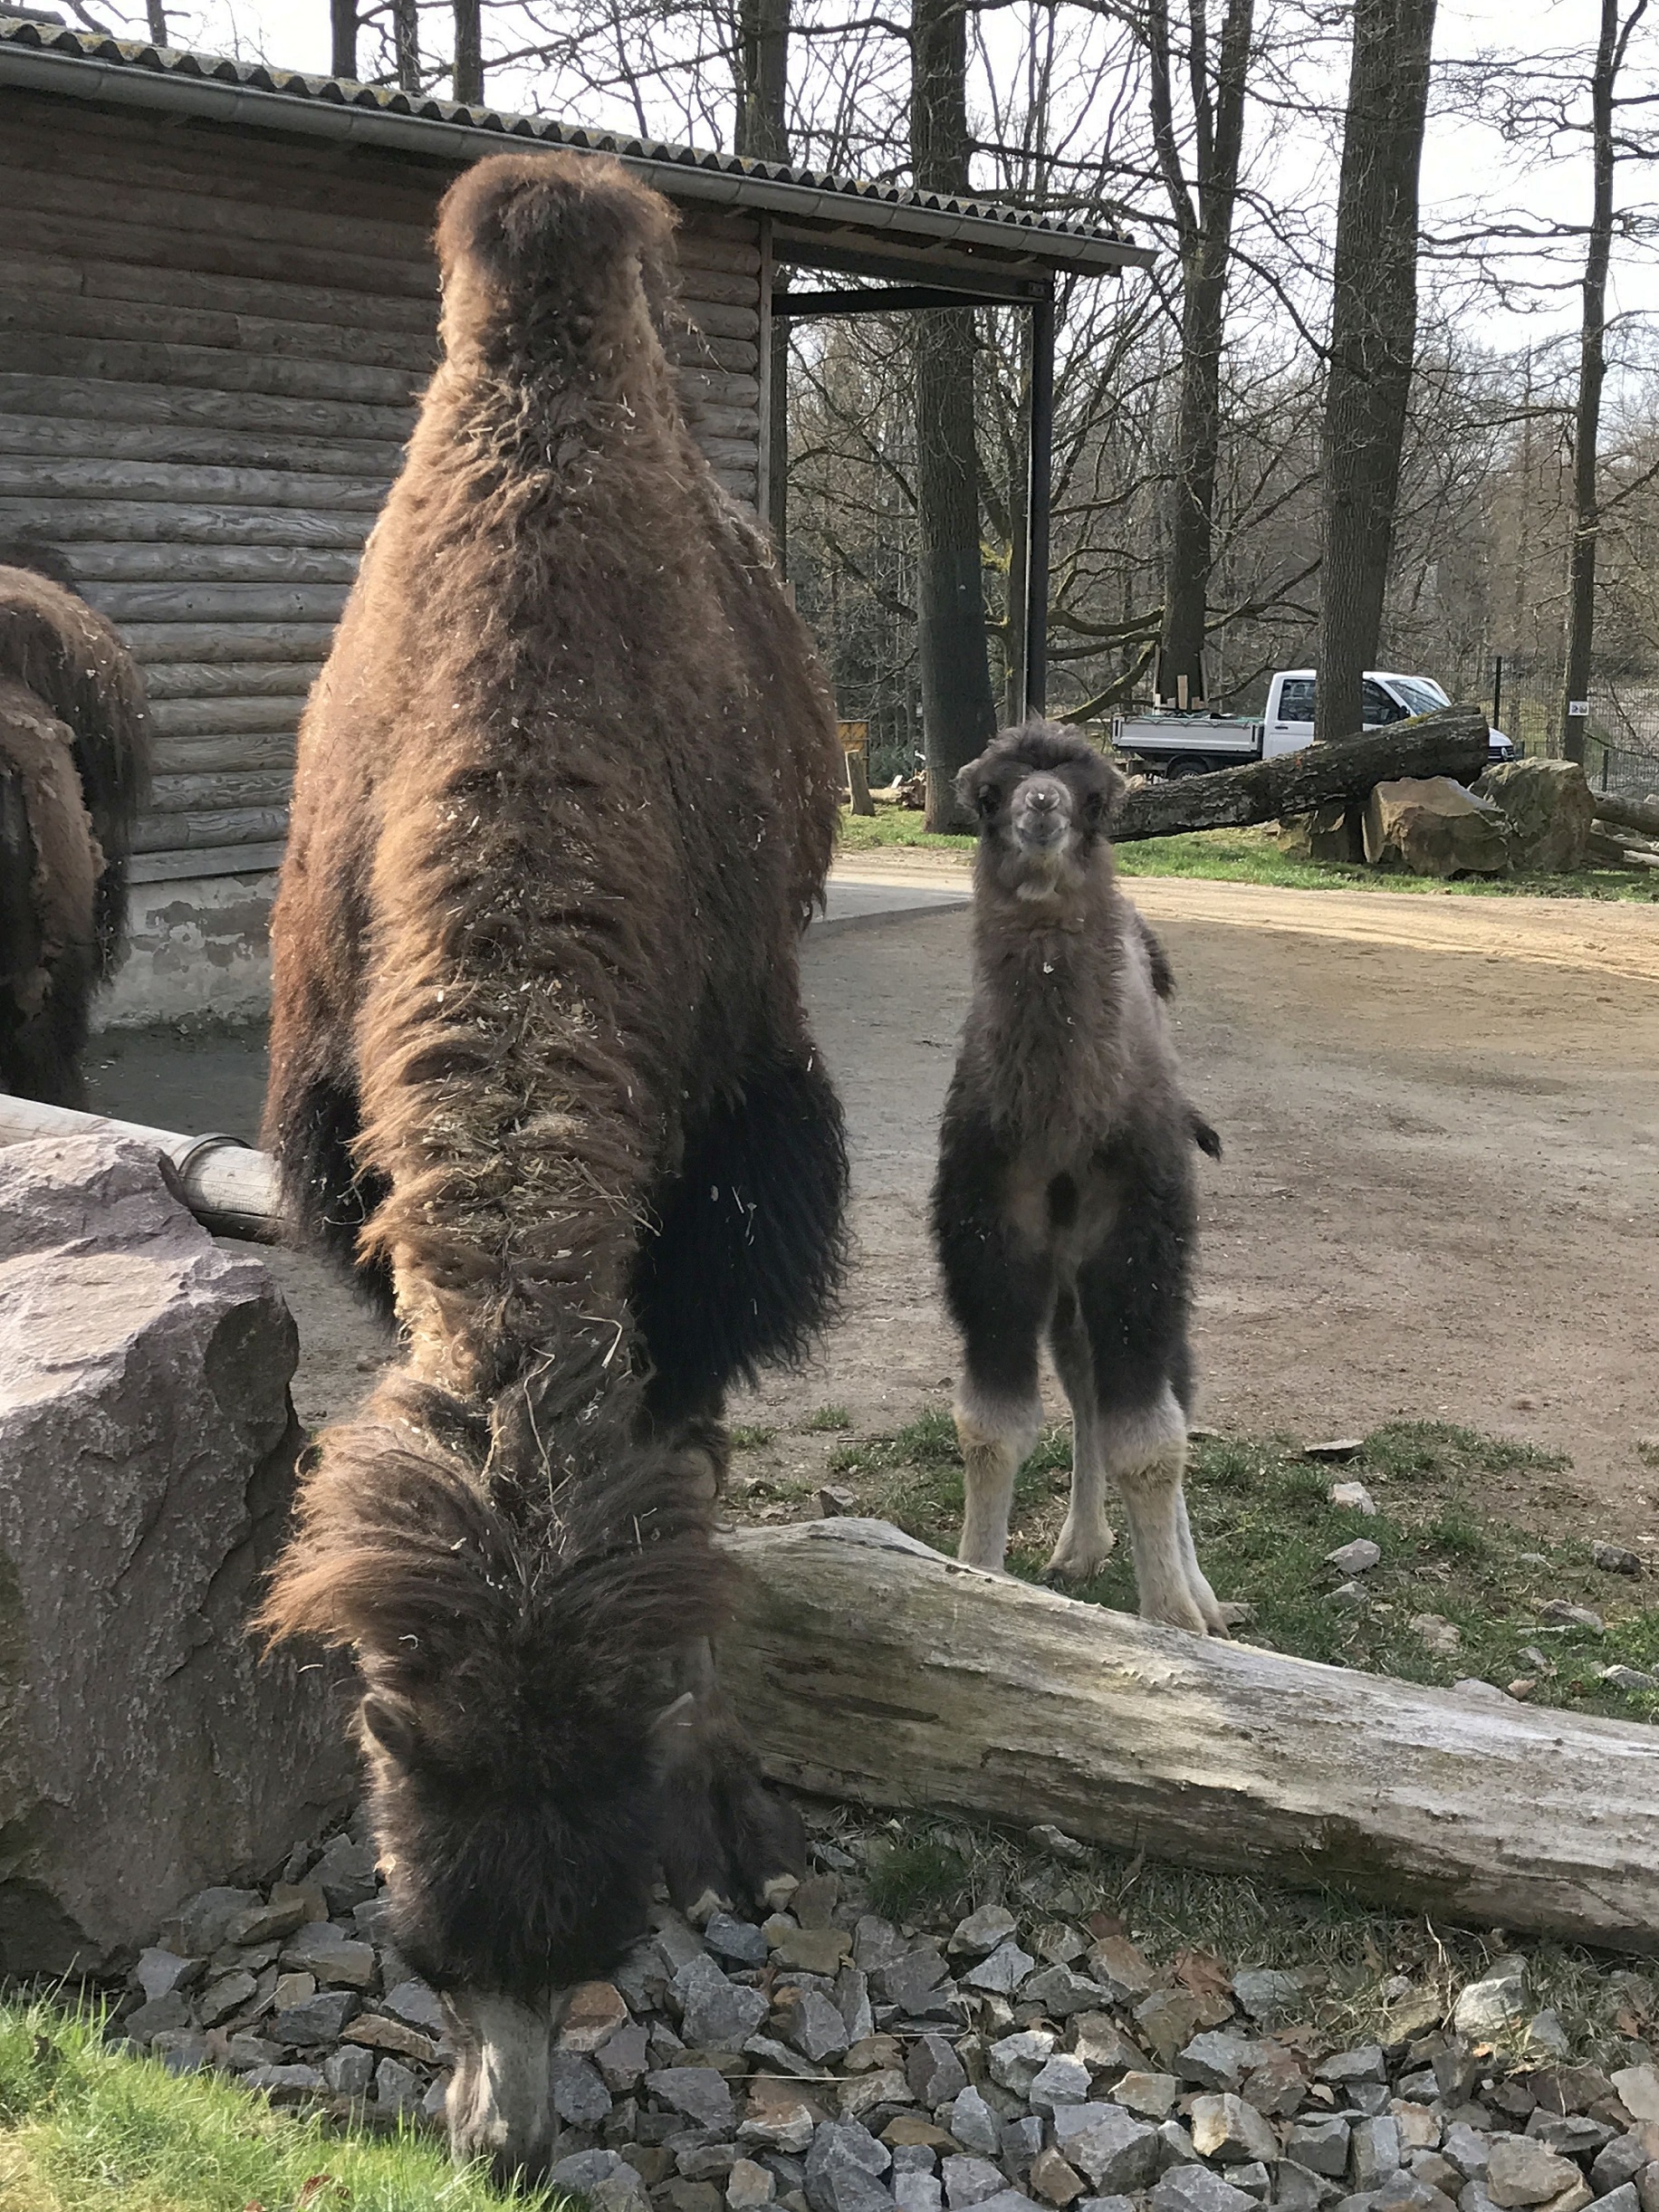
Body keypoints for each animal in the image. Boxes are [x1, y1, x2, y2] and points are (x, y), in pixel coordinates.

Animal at [928, 716, 1230, 1636]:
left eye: (1097, 798)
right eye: (988, 794)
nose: (1041, 807)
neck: (1063, 1121)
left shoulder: (1142, 1237)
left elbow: (1152, 1439)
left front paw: (1175, 1619)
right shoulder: (991, 1234)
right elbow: (991, 1425)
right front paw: (973, 1578)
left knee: (1169, 1387)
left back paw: (1202, 1593)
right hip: (1065, 1273)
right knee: (1083, 1375)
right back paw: (1081, 1545)